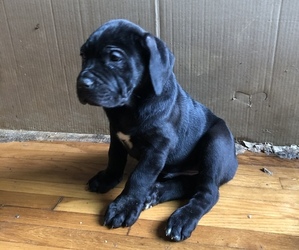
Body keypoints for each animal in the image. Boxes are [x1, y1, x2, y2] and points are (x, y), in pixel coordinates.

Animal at [77, 19, 239, 242]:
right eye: (83, 55)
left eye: (115, 58)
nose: (82, 83)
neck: (130, 105)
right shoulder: (115, 135)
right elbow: (115, 159)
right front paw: (108, 179)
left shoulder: (156, 149)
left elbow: (139, 177)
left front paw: (124, 206)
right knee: (189, 183)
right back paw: (155, 193)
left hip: (216, 144)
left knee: (207, 191)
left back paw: (182, 219)